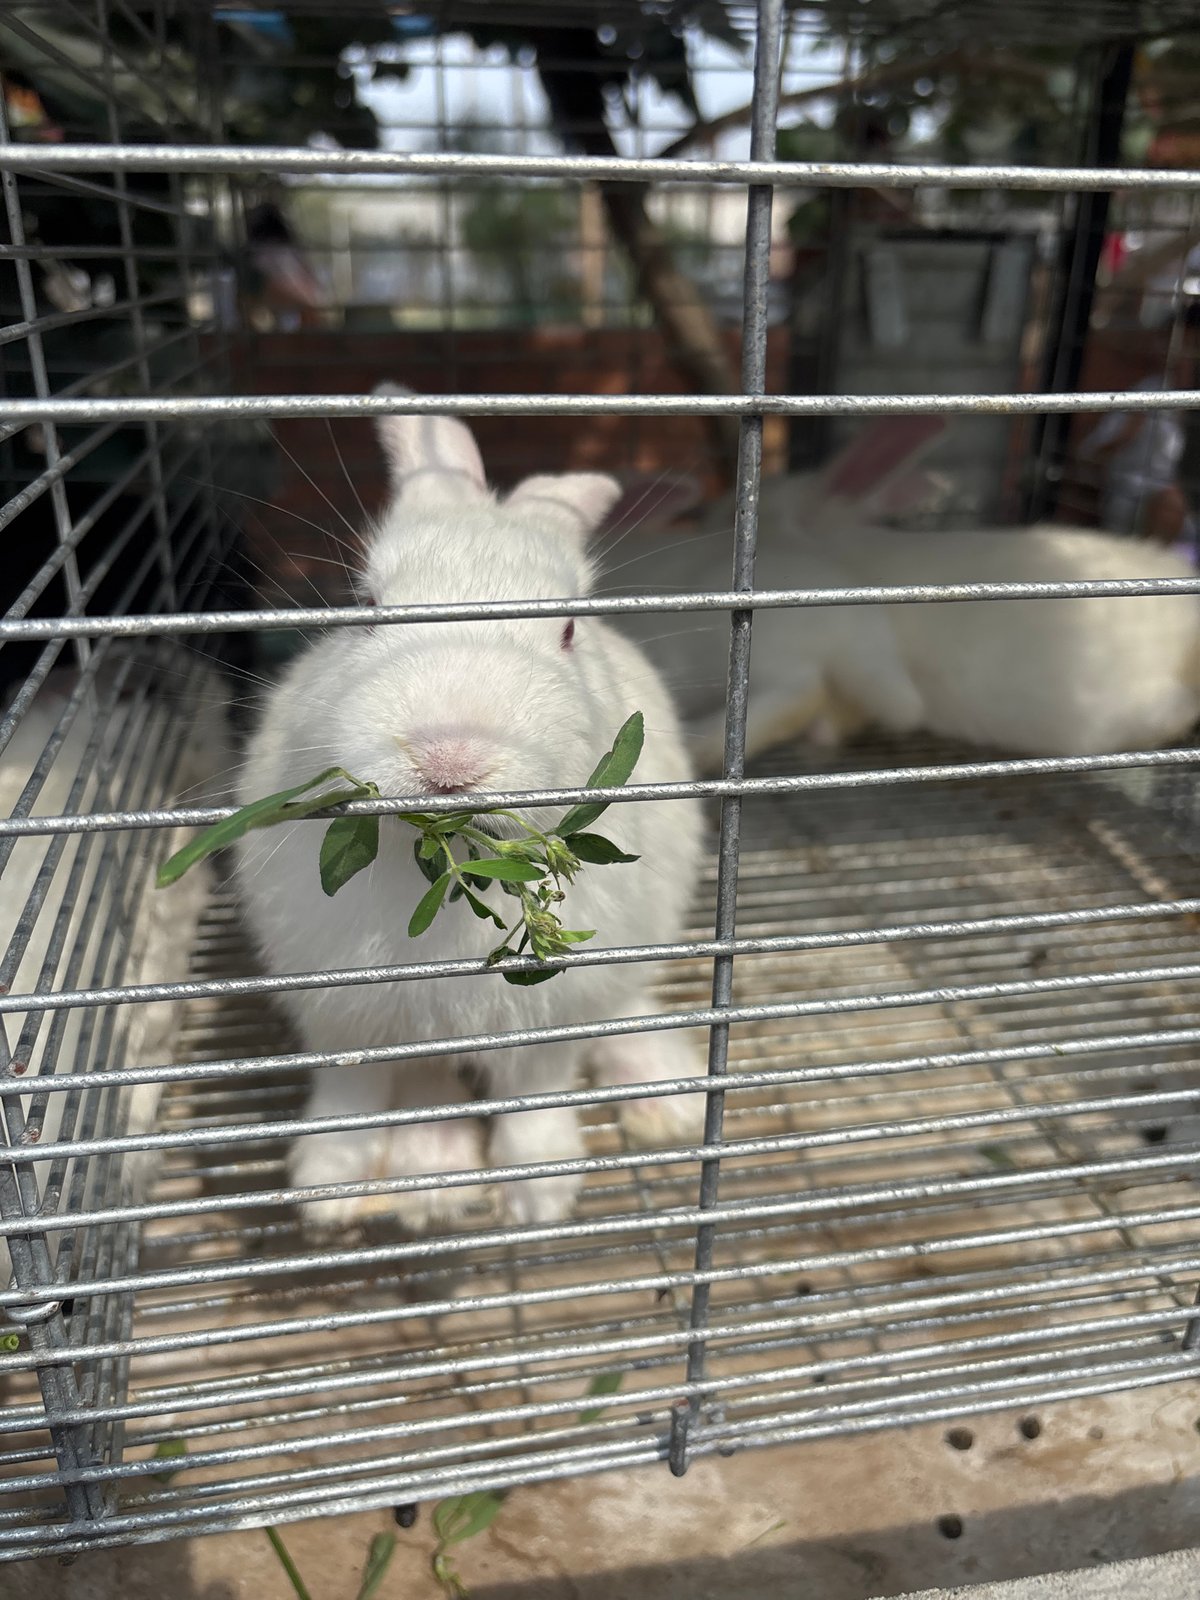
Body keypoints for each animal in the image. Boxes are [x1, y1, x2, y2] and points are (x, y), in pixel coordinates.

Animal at [234, 395, 706, 1236]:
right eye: (365, 610)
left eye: (569, 629)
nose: (450, 758)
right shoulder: (341, 1012)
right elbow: (353, 1092)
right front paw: (327, 1190)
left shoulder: (550, 1017)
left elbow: (535, 1093)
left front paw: (538, 1195)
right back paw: (434, 1179)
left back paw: (666, 1098)